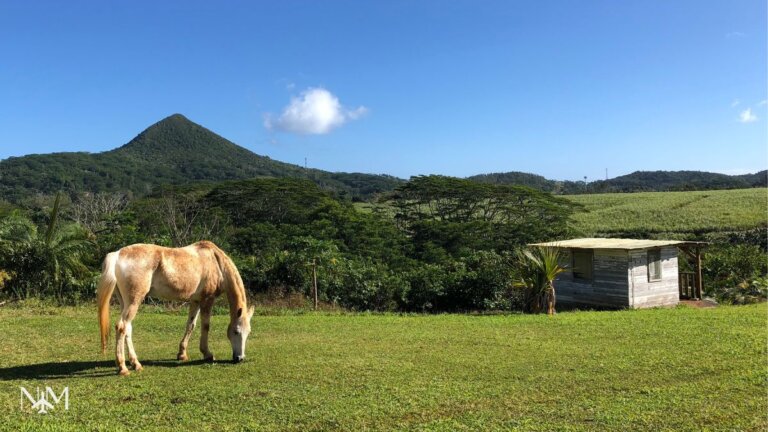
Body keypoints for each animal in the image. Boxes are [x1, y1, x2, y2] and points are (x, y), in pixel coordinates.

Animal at [96, 240, 255, 376]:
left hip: (125, 303)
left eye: (248, 333)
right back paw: (123, 367)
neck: (216, 262)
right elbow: (205, 326)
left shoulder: (195, 301)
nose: (240, 358)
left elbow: (191, 325)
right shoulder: (207, 300)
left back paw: (136, 364)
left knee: (127, 329)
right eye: (236, 331)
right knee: (122, 327)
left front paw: (182, 354)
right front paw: (207, 354)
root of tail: (117, 254)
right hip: (133, 302)